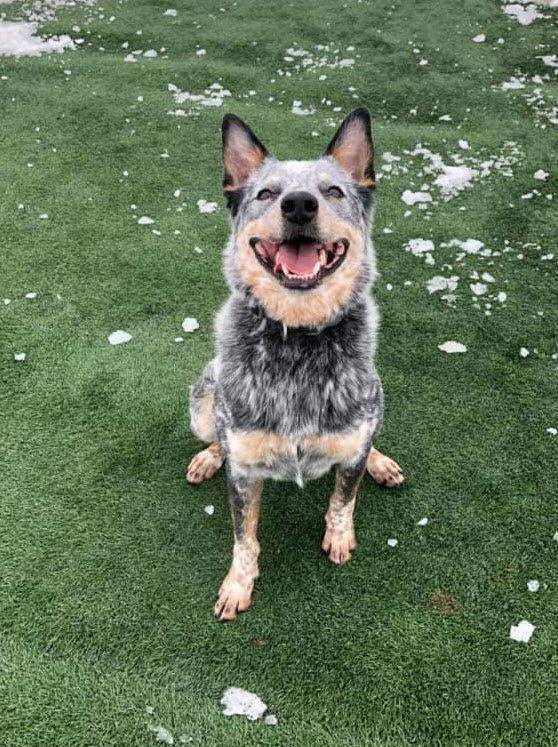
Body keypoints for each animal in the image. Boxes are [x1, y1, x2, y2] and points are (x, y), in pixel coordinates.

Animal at [187, 106, 402, 620]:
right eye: (266, 193)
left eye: (334, 191)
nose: (299, 204)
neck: (300, 341)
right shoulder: (244, 473)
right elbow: (244, 537)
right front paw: (237, 585)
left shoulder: (352, 445)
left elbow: (344, 500)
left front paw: (339, 538)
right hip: (201, 400)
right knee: (214, 434)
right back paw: (207, 456)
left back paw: (381, 462)